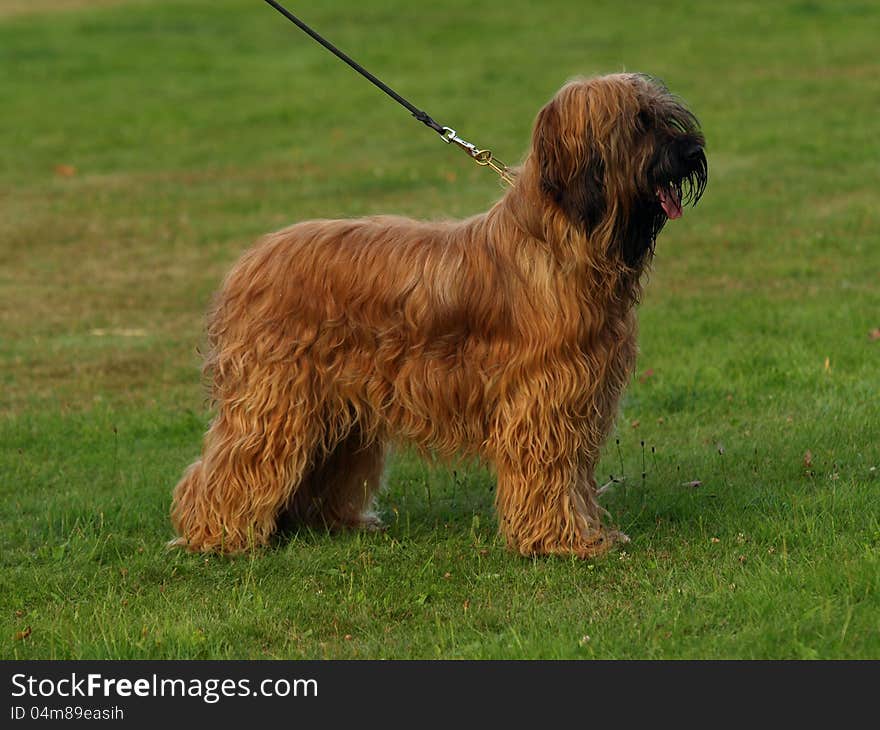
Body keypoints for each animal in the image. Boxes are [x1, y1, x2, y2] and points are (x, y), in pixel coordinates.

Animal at [170, 71, 708, 556]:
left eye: (663, 115)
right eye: (639, 123)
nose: (692, 152)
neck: (557, 242)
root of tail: (250, 261)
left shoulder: (582, 392)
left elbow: (574, 474)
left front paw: (585, 533)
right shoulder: (544, 398)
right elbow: (552, 471)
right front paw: (563, 541)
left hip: (333, 405)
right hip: (276, 395)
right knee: (234, 461)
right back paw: (214, 535)